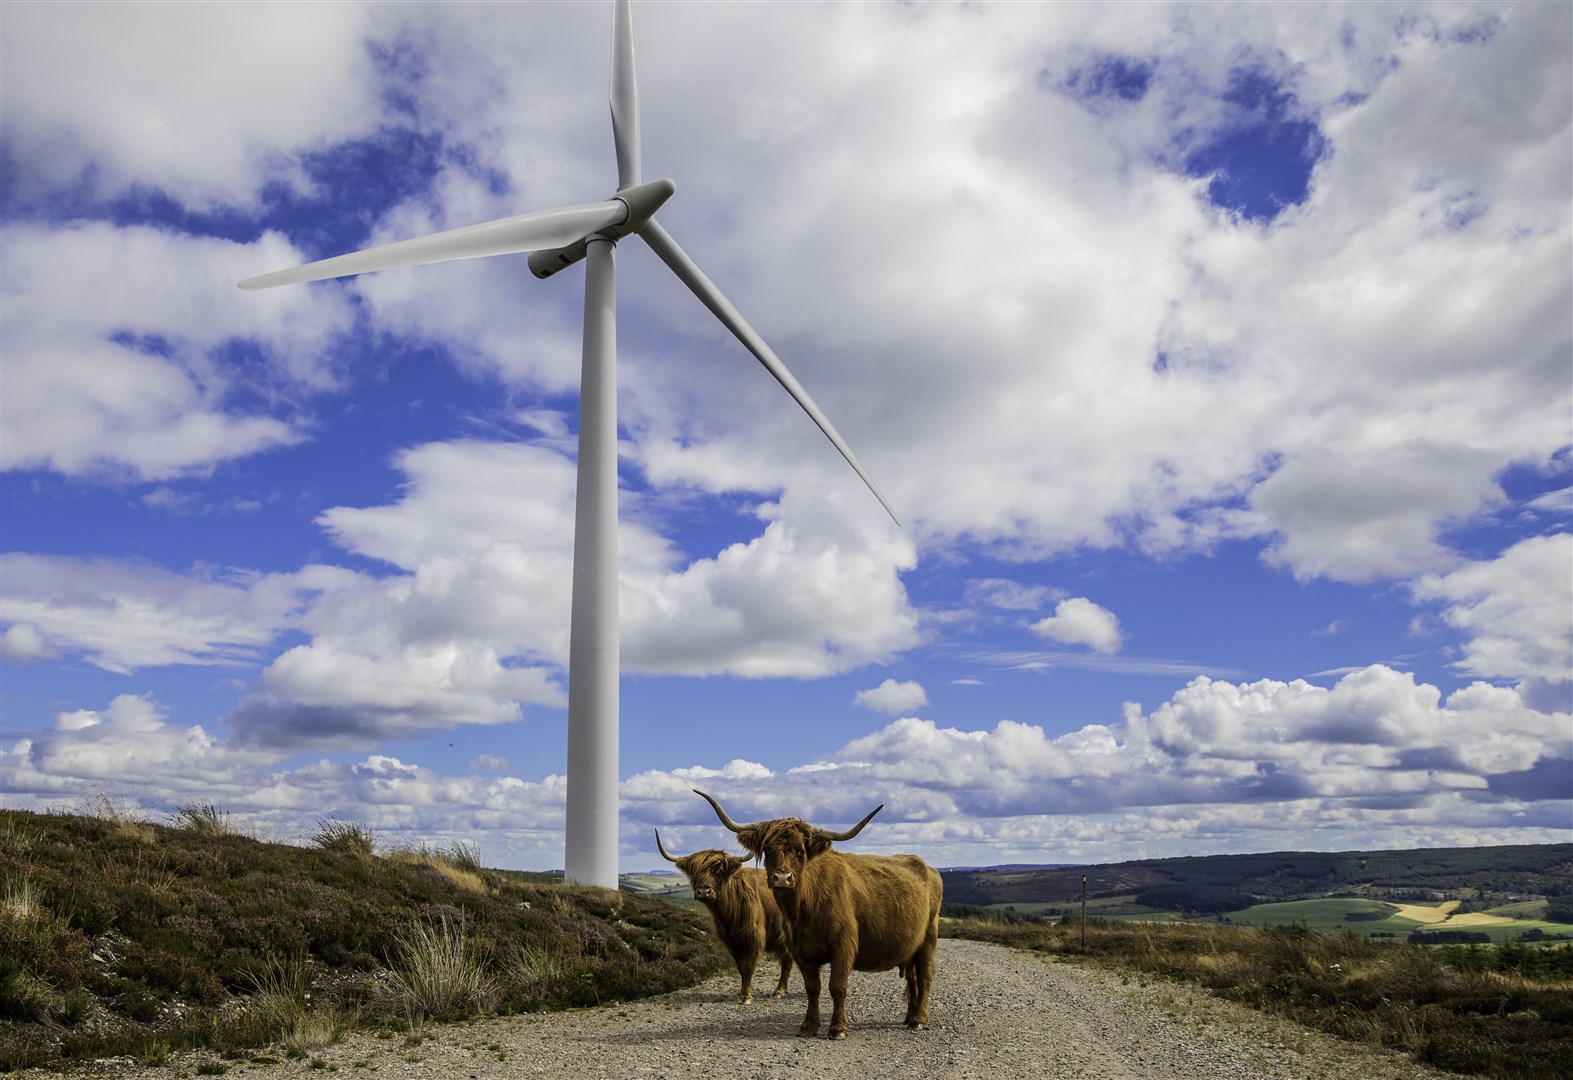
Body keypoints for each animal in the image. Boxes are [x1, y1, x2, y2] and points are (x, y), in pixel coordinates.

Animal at [654, 836, 799, 1006]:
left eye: (718, 871)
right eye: (695, 872)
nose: (704, 891)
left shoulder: (753, 939)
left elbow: (748, 967)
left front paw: (747, 997)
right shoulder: (731, 942)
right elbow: (740, 968)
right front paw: (742, 994)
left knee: (787, 961)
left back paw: (779, 991)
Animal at [695, 789, 937, 1043]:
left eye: (800, 851)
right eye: (768, 850)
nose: (782, 878)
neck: (804, 908)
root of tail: (925, 866)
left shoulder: (843, 945)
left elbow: (837, 987)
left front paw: (838, 1028)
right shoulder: (800, 950)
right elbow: (813, 989)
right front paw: (808, 1025)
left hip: (928, 939)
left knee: (925, 976)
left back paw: (919, 1019)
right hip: (910, 946)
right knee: (913, 979)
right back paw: (909, 1017)